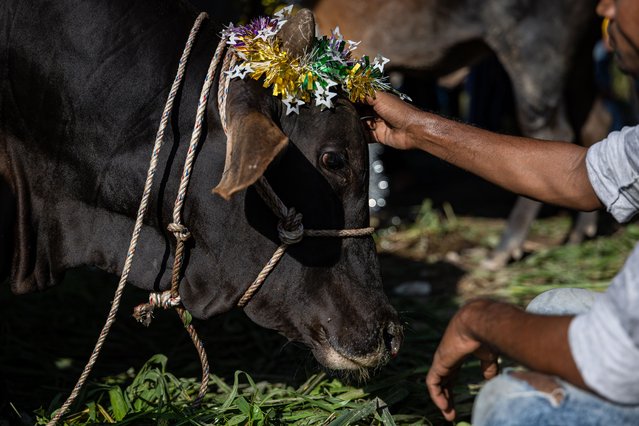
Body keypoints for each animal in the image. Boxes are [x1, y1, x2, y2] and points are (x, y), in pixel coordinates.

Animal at [310, 0, 604, 266]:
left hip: (534, 52)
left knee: (552, 131)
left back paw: (505, 247)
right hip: (579, 56)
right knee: (594, 124)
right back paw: (580, 232)